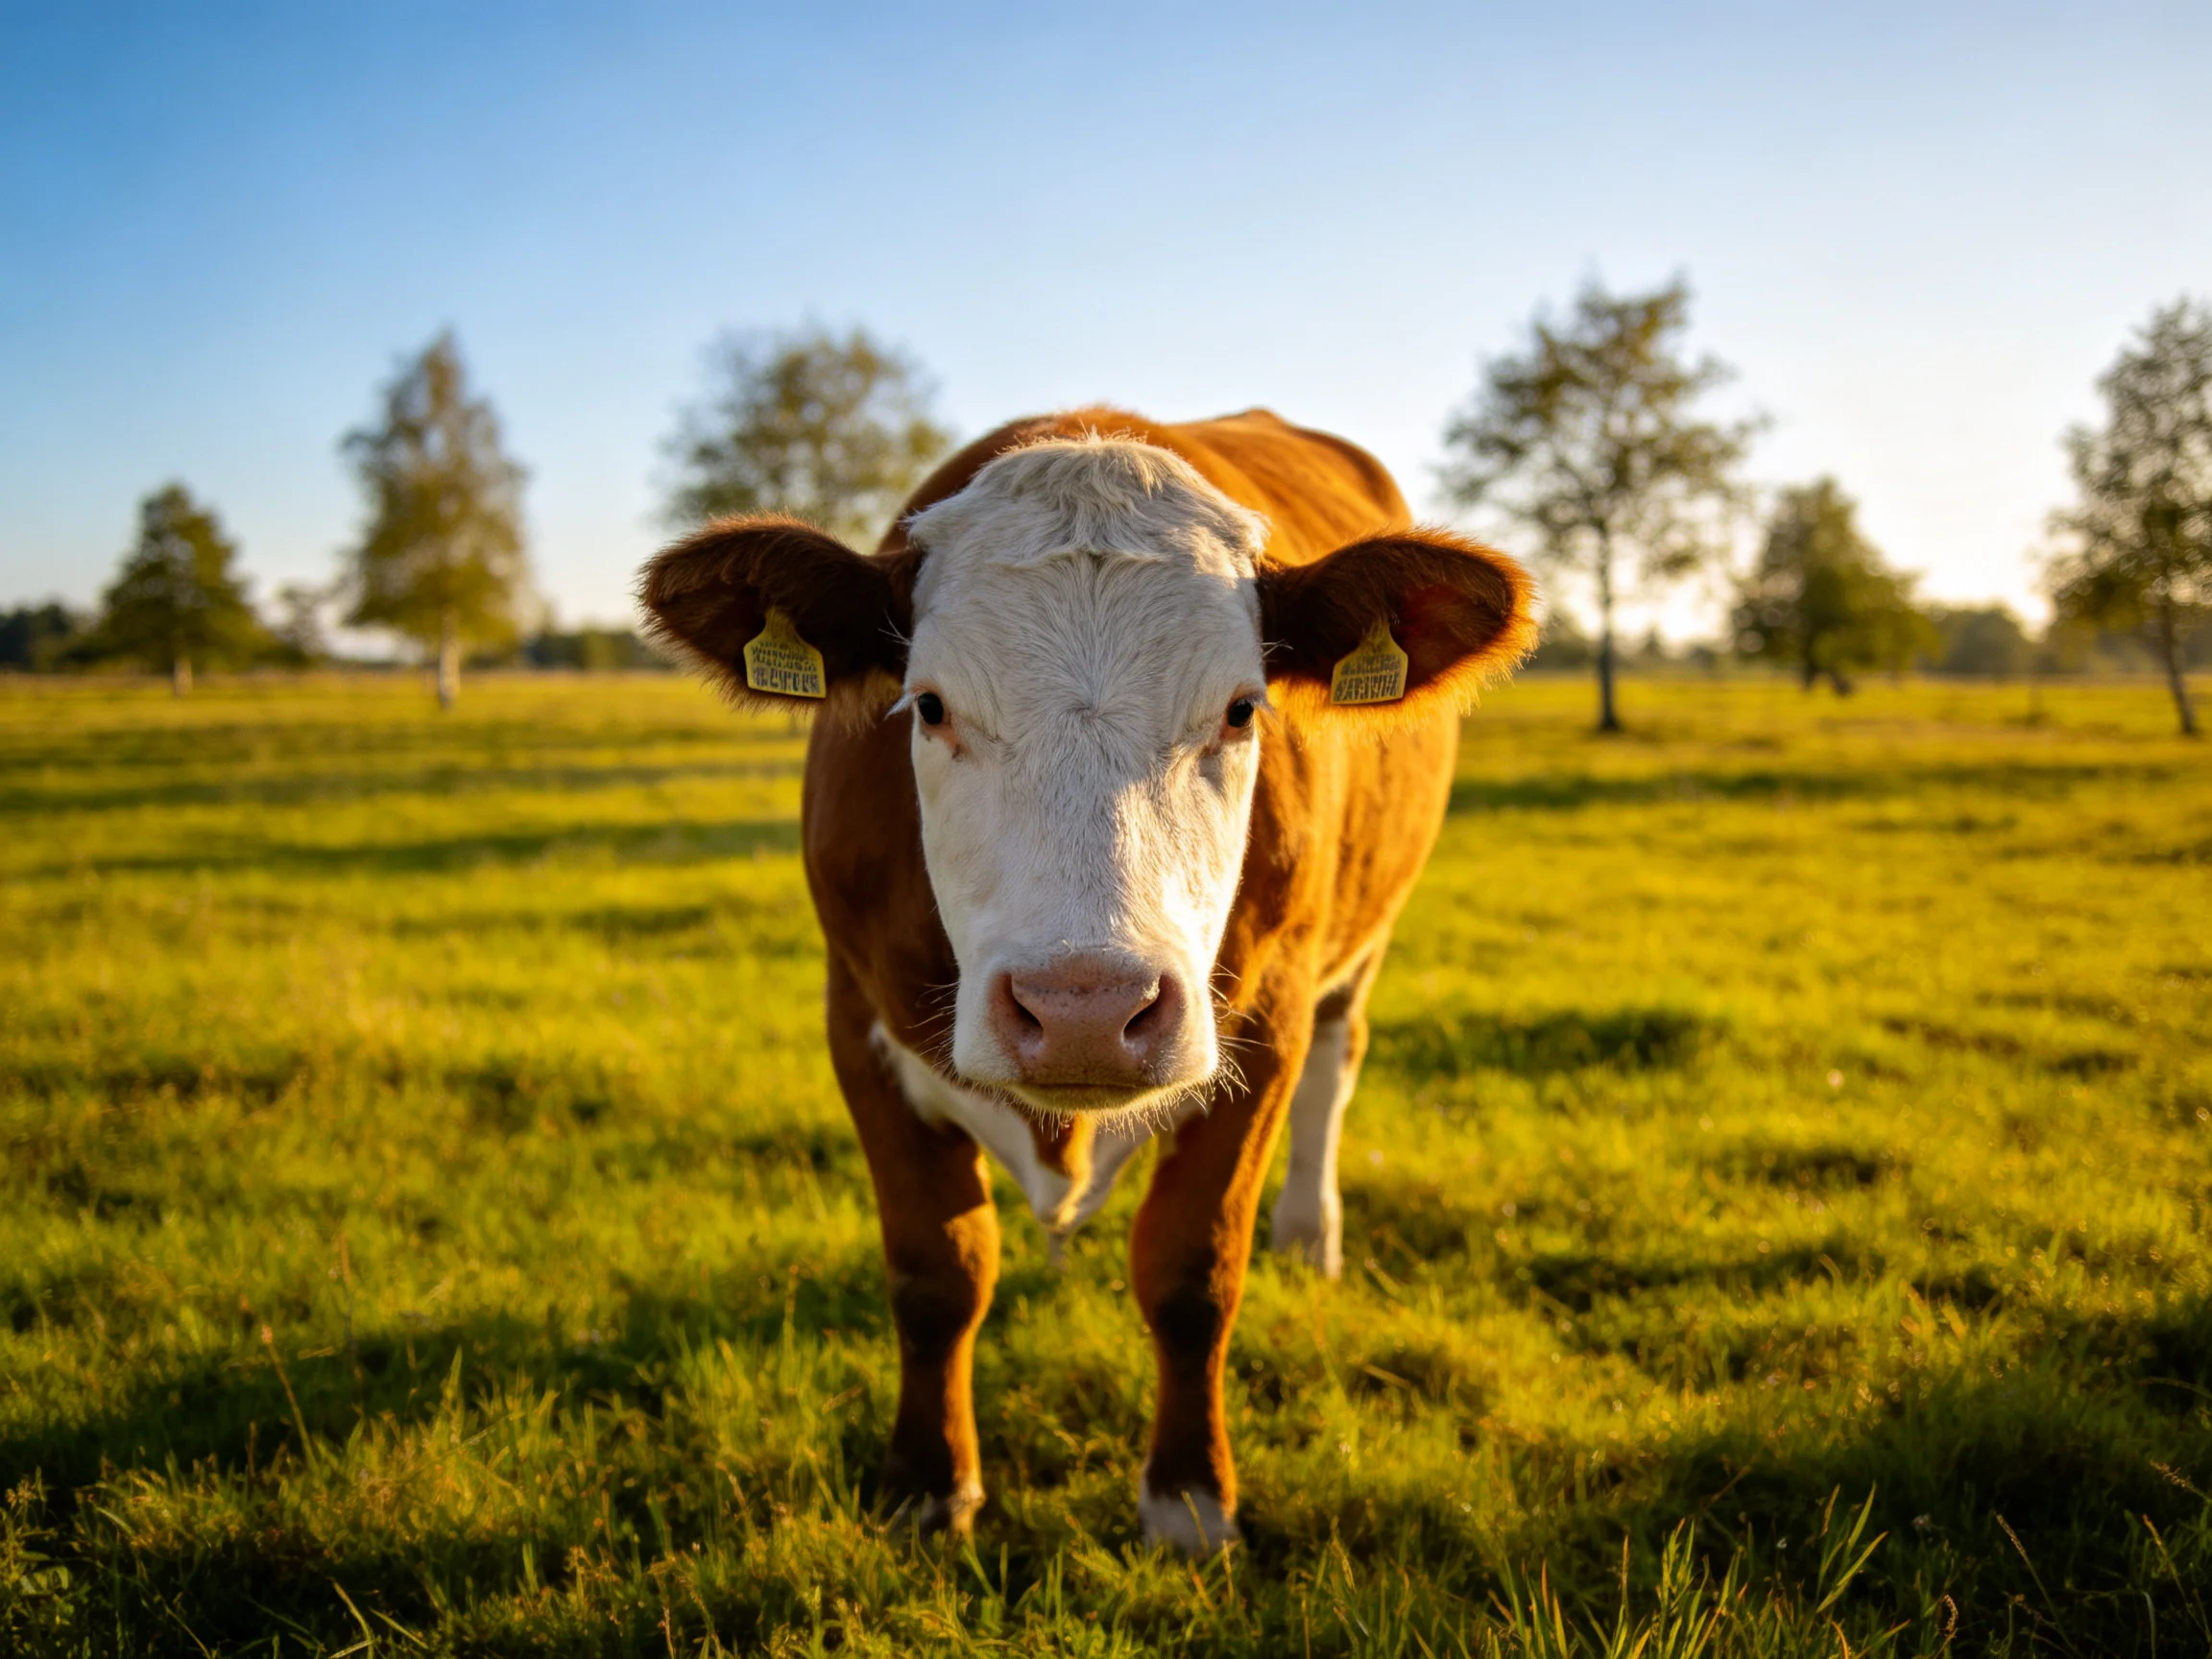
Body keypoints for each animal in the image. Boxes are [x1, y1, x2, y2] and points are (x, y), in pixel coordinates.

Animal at [640, 408, 1533, 1552]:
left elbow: (1193, 1270)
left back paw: (1308, 1236)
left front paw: (1189, 1500)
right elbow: (937, 1273)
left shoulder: (1268, 1020)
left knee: (1337, 1072)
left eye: (1241, 710)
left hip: (1359, 945)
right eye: (929, 706)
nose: (1084, 1013)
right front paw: (929, 1485)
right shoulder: (858, 1019)